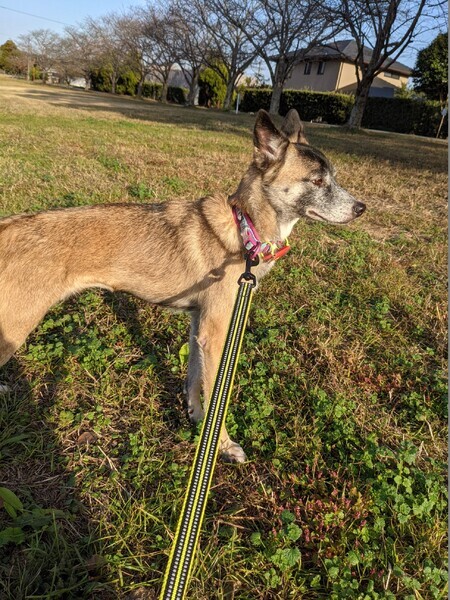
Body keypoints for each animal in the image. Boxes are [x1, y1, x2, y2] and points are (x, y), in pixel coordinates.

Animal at [0, 109, 365, 462]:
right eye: (317, 180)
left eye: (333, 177)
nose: (361, 208)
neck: (243, 228)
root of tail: (7, 227)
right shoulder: (217, 336)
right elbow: (217, 396)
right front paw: (222, 445)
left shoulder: (198, 327)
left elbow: (193, 379)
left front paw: (196, 417)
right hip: (14, 328)